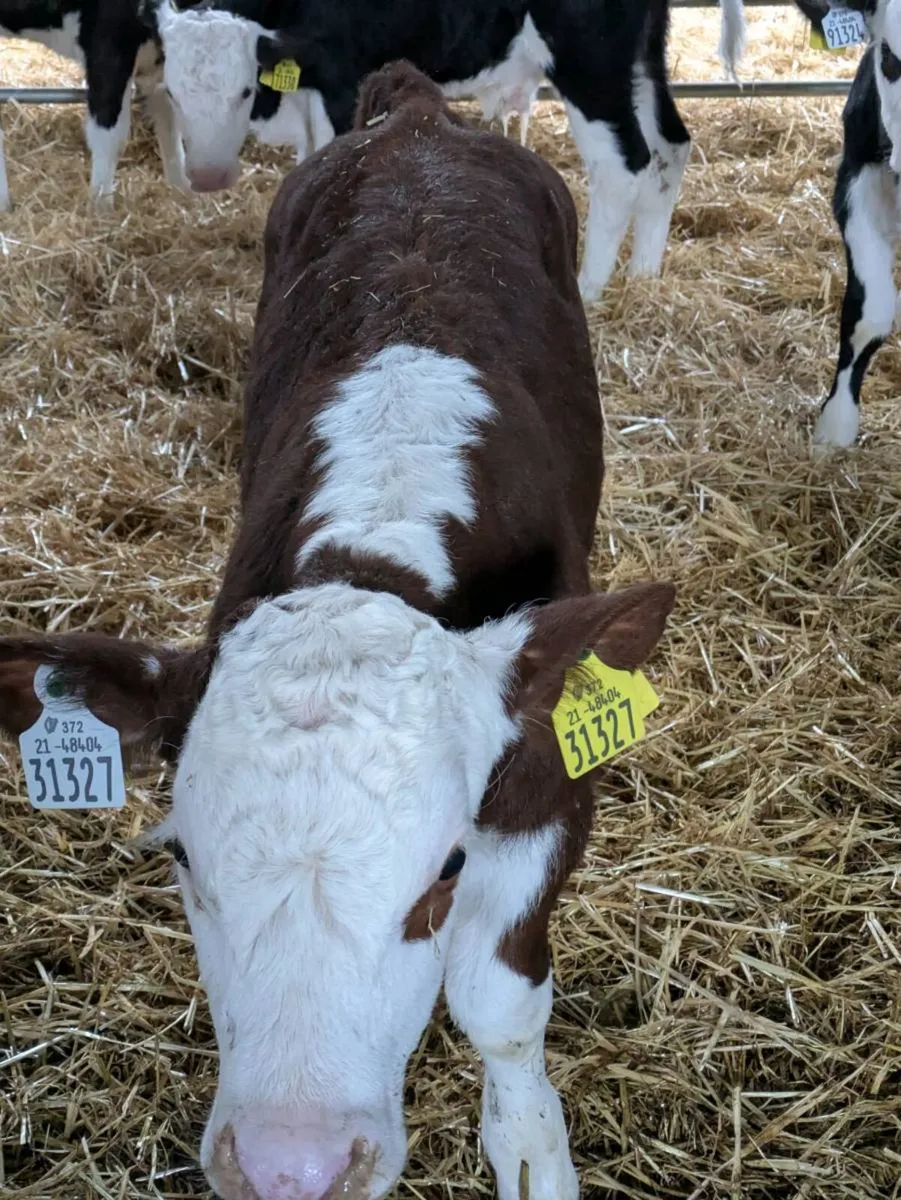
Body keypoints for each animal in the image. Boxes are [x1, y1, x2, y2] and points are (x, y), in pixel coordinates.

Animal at [0, 61, 675, 1200]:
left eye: (445, 872)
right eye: (183, 861)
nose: (291, 1166)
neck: (382, 529)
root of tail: (416, 116)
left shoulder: (548, 780)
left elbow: (497, 1005)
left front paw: (530, 1149)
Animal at [150, 0, 744, 302]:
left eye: (244, 90)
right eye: (173, 91)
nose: (207, 176)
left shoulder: (343, 72)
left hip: (590, 64)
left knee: (624, 167)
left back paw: (590, 290)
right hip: (641, 60)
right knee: (670, 147)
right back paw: (644, 278)